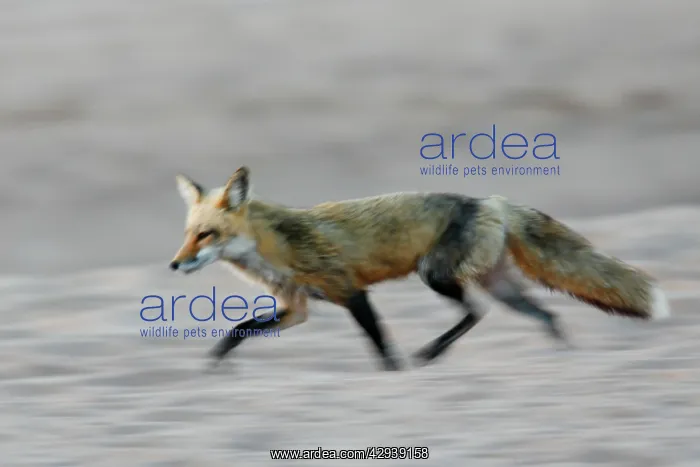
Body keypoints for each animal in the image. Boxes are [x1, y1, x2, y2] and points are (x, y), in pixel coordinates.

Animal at [169, 166, 670, 371]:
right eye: (188, 232)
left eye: (206, 235)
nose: (174, 264)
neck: (274, 247)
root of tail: (490, 201)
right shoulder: (297, 310)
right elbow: (238, 330)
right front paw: (213, 366)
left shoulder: (351, 292)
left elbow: (380, 345)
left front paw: (394, 374)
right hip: (500, 287)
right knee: (545, 314)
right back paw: (564, 358)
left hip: (437, 275)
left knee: (475, 312)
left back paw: (431, 353)